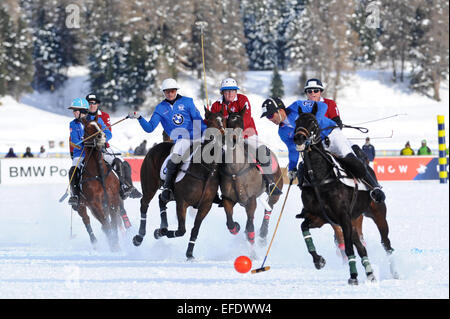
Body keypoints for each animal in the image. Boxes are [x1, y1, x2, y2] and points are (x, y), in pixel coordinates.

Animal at [76, 117, 121, 252]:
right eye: (87, 128)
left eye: (100, 125)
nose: (101, 136)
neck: (99, 174)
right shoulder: (94, 203)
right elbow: (106, 224)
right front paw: (113, 244)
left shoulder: (113, 199)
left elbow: (113, 223)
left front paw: (116, 244)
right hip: (81, 205)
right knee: (86, 219)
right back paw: (94, 242)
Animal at [132, 110, 227, 260]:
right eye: (210, 121)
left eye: (223, 120)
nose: (222, 137)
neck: (205, 170)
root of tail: (155, 147)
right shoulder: (182, 202)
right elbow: (182, 230)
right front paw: (159, 232)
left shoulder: (205, 206)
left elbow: (195, 230)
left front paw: (190, 254)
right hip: (149, 185)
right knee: (144, 203)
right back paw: (139, 237)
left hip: (170, 194)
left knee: (161, 199)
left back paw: (163, 226)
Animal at [218, 107, 282, 245]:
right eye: (228, 121)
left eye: (241, 122)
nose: (235, 139)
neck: (235, 169)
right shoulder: (227, 199)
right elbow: (230, 223)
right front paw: (236, 227)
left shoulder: (251, 199)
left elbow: (250, 226)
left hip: (275, 191)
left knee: (269, 207)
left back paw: (263, 233)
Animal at [292, 106, 398, 286]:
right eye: (296, 121)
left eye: (313, 121)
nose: (299, 137)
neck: (319, 178)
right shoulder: (320, 217)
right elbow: (303, 228)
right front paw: (318, 260)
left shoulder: (343, 217)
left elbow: (348, 248)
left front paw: (353, 276)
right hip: (354, 220)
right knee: (362, 247)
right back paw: (370, 274)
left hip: (377, 214)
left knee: (386, 244)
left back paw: (394, 273)